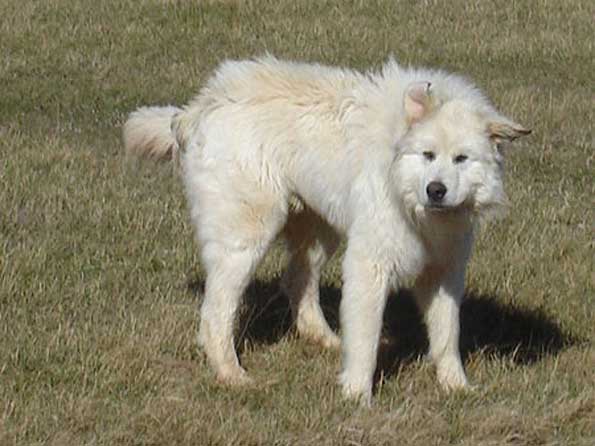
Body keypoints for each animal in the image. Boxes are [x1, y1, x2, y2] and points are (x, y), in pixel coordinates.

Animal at [122, 55, 532, 404]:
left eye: (462, 159)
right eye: (428, 155)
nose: (436, 190)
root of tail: (202, 104)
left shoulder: (444, 271)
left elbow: (447, 335)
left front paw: (456, 387)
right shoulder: (370, 264)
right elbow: (366, 338)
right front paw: (356, 396)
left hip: (319, 233)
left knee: (295, 282)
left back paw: (326, 340)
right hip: (248, 237)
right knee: (215, 313)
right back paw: (232, 376)